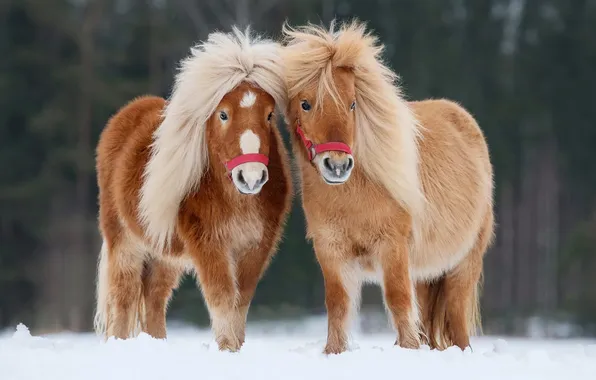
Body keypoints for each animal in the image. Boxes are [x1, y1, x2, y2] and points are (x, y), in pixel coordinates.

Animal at [92, 27, 294, 354]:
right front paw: (228, 350)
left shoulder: (255, 247)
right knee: (124, 297)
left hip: (164, 254)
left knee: (154, 298)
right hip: (124, 243)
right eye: (223, 114)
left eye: (268, 115)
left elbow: (240, 303)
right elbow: (222, 299)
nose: (250, 178)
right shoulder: (209, 244)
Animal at [282, 20, 496, 354]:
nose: (337, 166)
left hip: (463, 266)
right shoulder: (332, 252)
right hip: (424, 272)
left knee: (458, 324)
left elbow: (397, 301)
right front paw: (334, 352)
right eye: (305, 104)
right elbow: (338, 307)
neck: (356, 196)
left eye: (352, 103)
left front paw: (407, 349)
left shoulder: (392, 247)